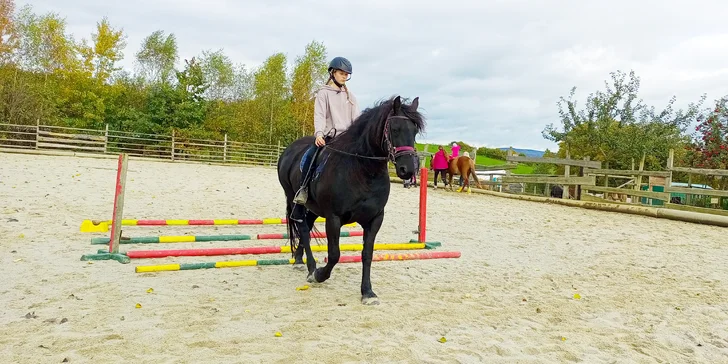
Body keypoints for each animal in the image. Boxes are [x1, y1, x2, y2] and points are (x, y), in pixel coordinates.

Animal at [278, 94, 426, 304]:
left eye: (414, 131)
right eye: (395, 129)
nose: (408, 170)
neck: (362, 170)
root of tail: (289, 150)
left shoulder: (375, 219)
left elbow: (367, 254)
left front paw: (367, 292)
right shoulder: (333, 218)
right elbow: (334, 254)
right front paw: (319, 275)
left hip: (313, 208)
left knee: (305, 224)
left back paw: (299, 259)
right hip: (293, 199)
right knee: (303, 228)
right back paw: (311, 268)